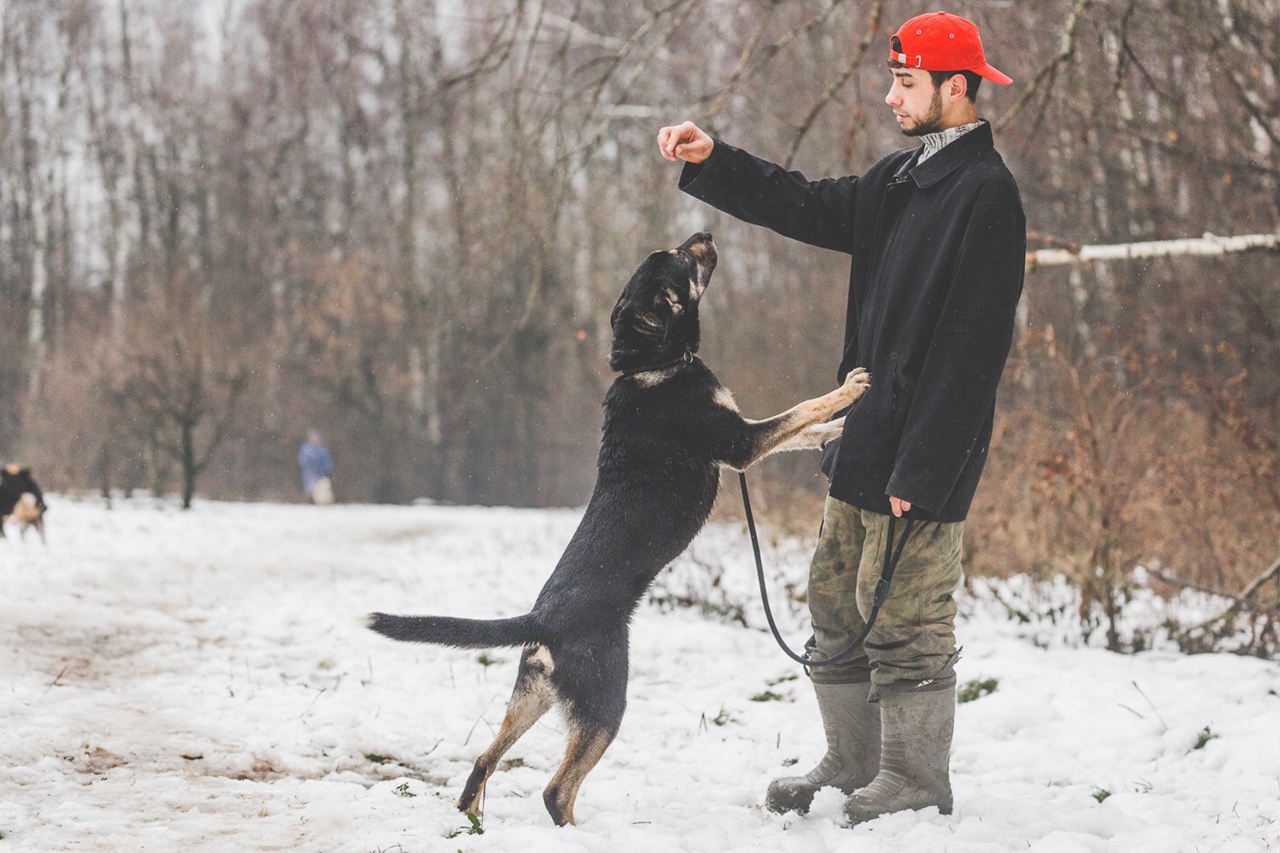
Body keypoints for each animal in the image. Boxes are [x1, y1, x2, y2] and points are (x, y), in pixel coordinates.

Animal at [367, 232, 869, 826]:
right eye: (681, 259)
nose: (705, 233)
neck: (655, 364)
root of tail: (541, 620)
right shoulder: (740, 445)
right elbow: (800, 411)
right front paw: (849, 392)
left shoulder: (742, 440)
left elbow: (804, 430)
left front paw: (838, 430)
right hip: (607, 700)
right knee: (556, 790)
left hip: (533, 696)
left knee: (483, 761)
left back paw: (473, 820)